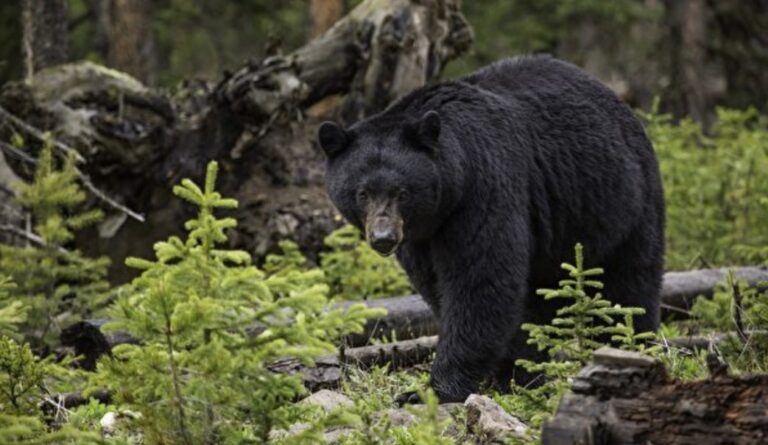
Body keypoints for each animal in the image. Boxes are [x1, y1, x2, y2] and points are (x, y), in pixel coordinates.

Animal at [318, 55, 665, 403]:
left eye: (402, 192)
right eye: (362, 193)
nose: (383, 238)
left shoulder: (483, 188)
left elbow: (480, 281)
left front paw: (433, 389)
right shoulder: (421, 237)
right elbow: (438, 285)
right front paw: (509, 372)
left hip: (623, 203)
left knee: (629, 285)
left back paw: (629, 346)